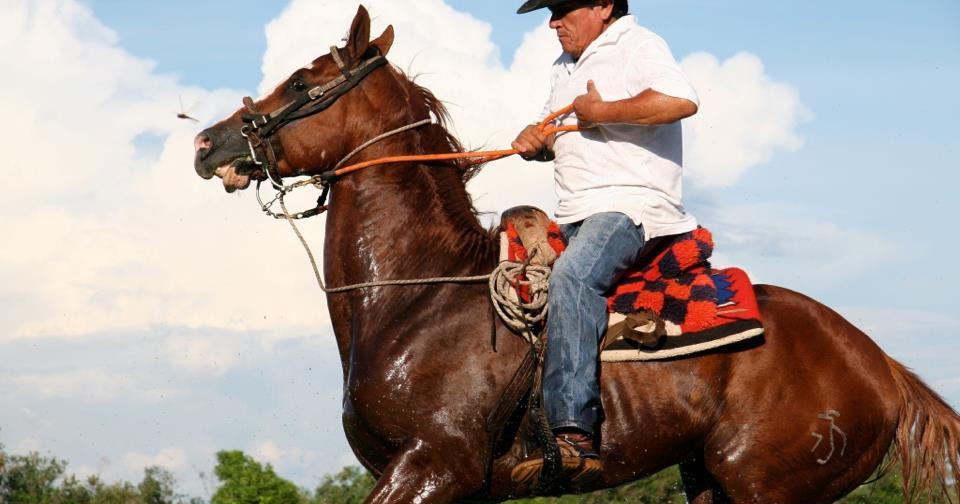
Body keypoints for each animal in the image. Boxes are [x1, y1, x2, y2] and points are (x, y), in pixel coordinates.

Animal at [192, 6, 959, 503]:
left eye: (303, 84)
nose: (208, 142)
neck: (418, 296)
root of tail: (881, 366)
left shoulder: (432, 465)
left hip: (763, 483)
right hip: (709, 478)